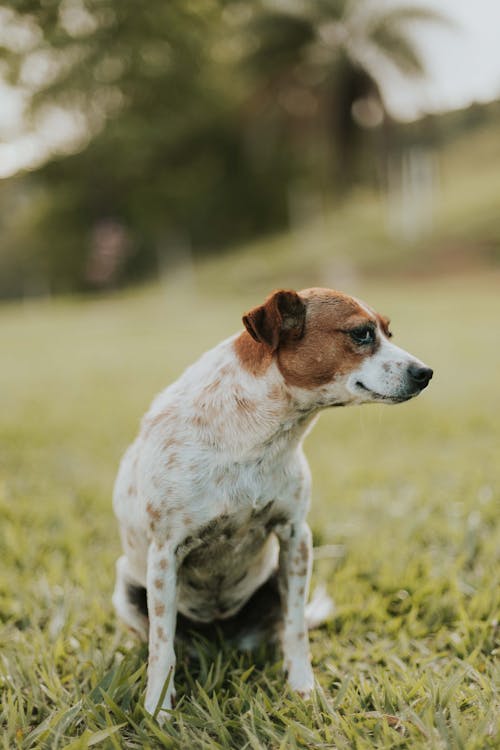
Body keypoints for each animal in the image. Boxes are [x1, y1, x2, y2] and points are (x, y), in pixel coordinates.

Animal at [111, 288, 432, 724]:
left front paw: (303, 688)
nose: (426, 372)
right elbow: (162, 649)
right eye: (362, 334)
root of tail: (222, 639)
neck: (256, 435)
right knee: (170, 643)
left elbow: (296, 629)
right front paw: (157, 710)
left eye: (387, 332)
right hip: (128, 588)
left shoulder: (295, 536)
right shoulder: (164, 555)